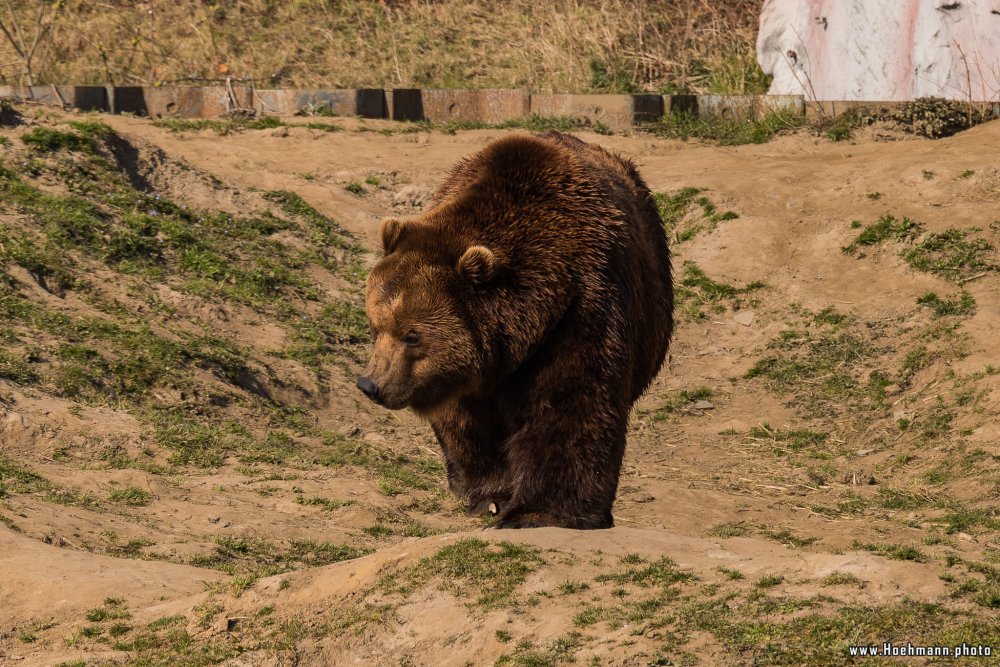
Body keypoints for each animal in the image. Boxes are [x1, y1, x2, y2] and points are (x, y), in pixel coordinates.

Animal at [360, 129, 672, 528]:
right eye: (375, 326)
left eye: (412, 335)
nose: (371, 384)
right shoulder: (463, 374)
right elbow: (468, 423)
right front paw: (490, 496)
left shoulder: (581, 310)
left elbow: (570, 405)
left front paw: (540, 511)